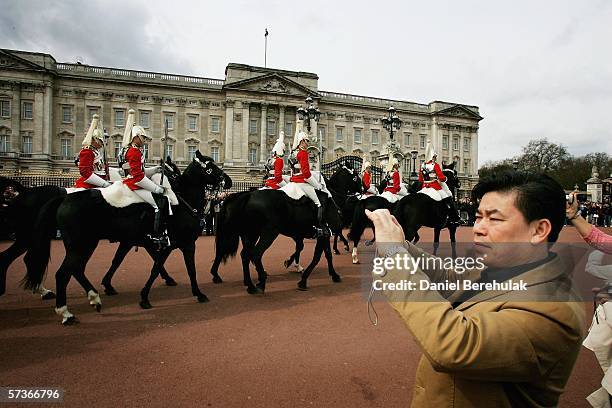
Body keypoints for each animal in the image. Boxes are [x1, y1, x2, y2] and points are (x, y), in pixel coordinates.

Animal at [22, 151, 227, 324]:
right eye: (210, 167)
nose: (228, 181)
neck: (181, 204)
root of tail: (63, 198)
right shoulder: (183, 244)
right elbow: (185, 269)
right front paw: (197, 294)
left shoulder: (152, 243)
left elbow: (135, 263)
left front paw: (139, 293)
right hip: (81, 245)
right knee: (63, 273)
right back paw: (66, 313)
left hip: (87, 244)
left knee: (76, 269)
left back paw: (93, 299)